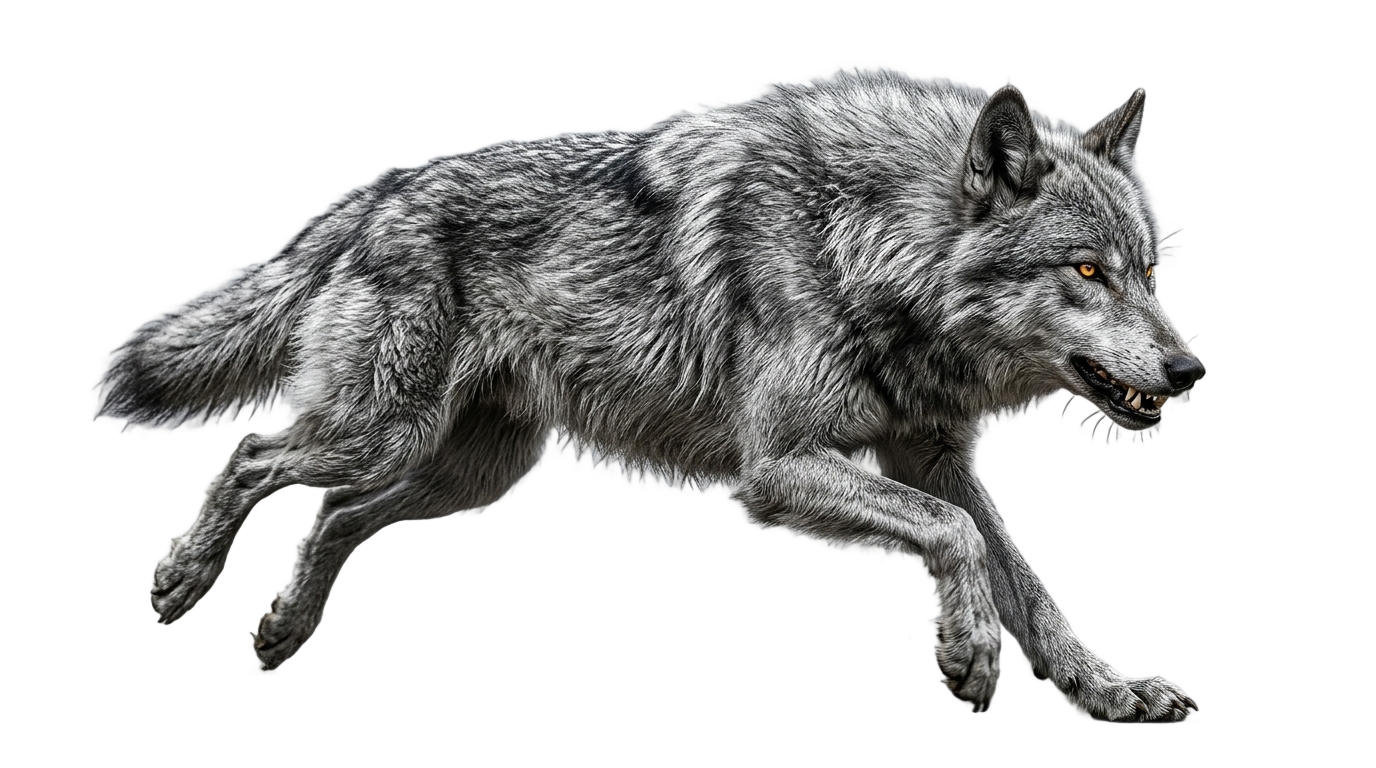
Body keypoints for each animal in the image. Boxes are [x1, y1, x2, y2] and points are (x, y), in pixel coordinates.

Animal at [102, 73, 1205, 721]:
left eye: (1147, 273)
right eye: (1087, 271)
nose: (1190, 372)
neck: (866, 250)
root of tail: (381, 193)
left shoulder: (926, 456)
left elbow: (1023, 577)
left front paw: (1107, 686)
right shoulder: (777, 469)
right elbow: (957, 537)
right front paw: (969, 652)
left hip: (463, 473)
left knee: (333, 512)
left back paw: (286, 629)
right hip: (383, 435)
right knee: (258, 461)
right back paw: (184, 583)